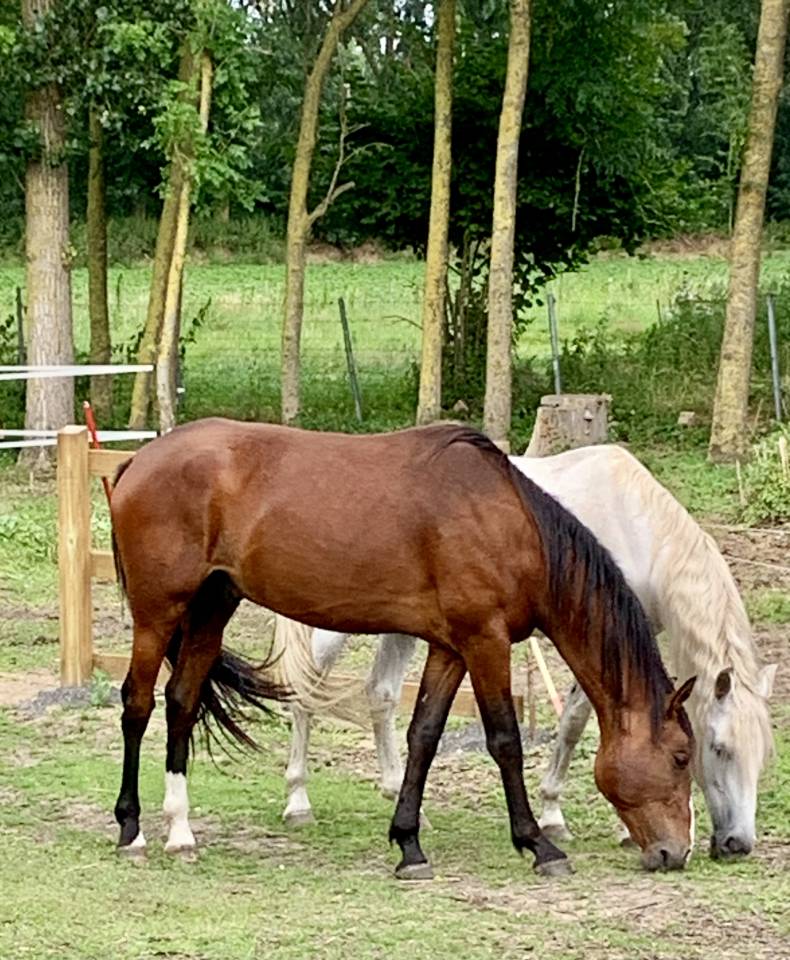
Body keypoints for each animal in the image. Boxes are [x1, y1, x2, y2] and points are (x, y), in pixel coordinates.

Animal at [109, 419, 696, 877]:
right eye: (681, 756)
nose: (676, 852)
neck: (507, 523)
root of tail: (136, 460)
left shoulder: (450, 648)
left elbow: (424, 736)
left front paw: (409, 843)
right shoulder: (485, 641)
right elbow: (504, 740)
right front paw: (538, 843)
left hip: (211, 609)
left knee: (182, 702)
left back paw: (180, 831)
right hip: (158, 614)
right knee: (137, 705)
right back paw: (132, 830)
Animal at [276, 443, 775, 860]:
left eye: (763, 756)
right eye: (718, 748)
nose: (738, 844)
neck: (633, 523)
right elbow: (575, 723)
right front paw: (554, 817)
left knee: (379, 693)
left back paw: (398, 796)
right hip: (334, 629)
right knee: (304, 695)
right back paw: (298, 802)